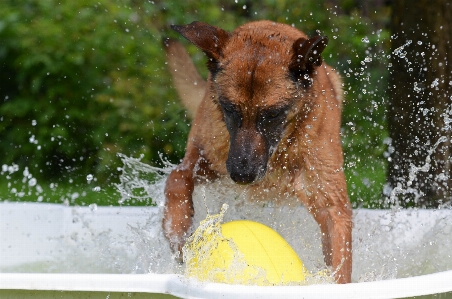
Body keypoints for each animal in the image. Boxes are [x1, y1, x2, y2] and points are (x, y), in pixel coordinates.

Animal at [162, 20, 354, 284]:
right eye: (229, 109)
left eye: (272, 114)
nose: (242, 175)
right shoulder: (208, 160)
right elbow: (177, 178)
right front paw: (177, 228)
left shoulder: (331, 204)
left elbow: (339, 258)